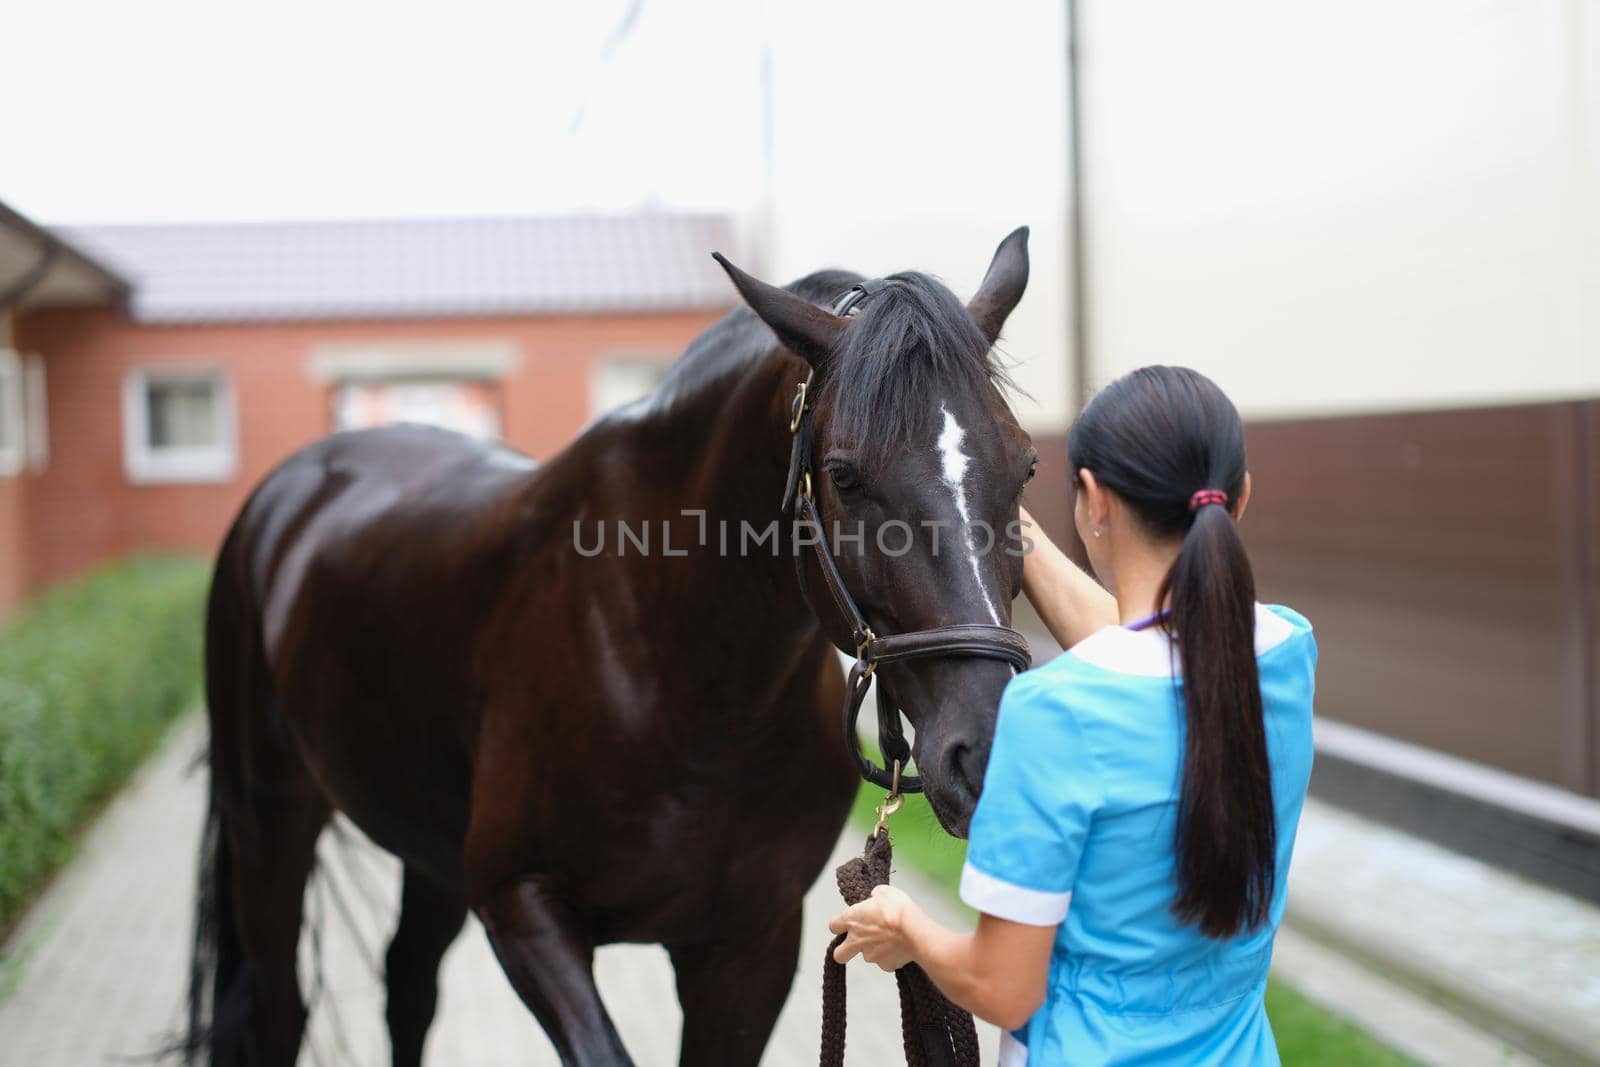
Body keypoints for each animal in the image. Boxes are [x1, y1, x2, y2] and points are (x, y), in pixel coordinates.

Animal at [190, 230, 1036, 1062]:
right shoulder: (522, 905)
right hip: (270, 826)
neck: (677, 672)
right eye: (845, 475)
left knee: (407, 983)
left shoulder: (750, 945)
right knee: (280, 1007)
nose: (994, 757)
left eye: (1025, 464)